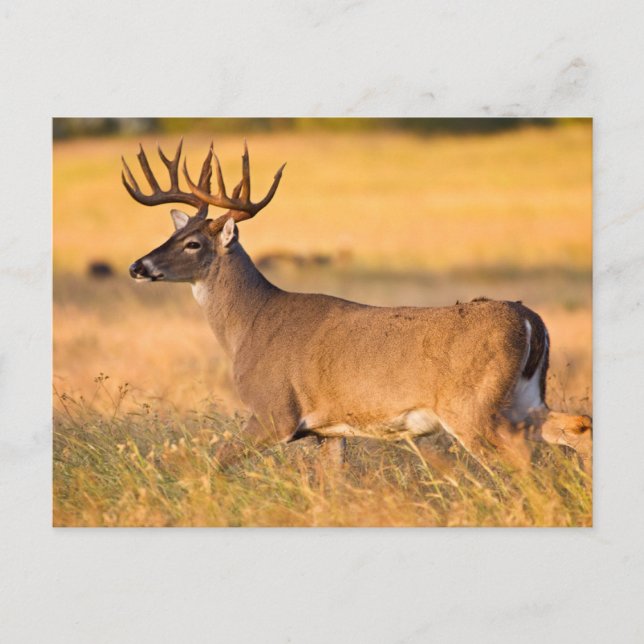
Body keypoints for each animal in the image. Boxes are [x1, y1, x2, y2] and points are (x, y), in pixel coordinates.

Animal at [123, 140, 592, 475]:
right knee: (577, 425)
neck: (250, 325)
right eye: (172, 235)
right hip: (523, 396)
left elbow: (214, 463)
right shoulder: (327, 431)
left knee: (518, 455)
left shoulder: (275, 411)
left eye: (192, 243)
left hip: (472, 404)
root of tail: (531, 319)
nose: (137, 266)